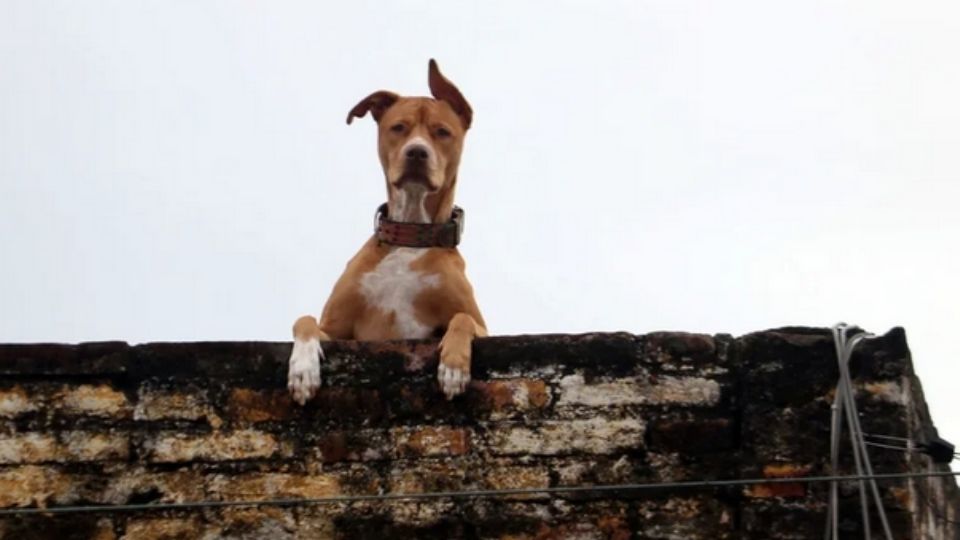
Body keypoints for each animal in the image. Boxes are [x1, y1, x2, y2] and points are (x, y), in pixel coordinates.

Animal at [286, 59, 488, 404]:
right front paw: (303, 368)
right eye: (398, 128)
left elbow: (462, 319)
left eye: (442, 132)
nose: (417, 152)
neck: (410, 233)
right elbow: (305, 320)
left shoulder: (484, 326)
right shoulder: (337, 329)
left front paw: (453, 366)